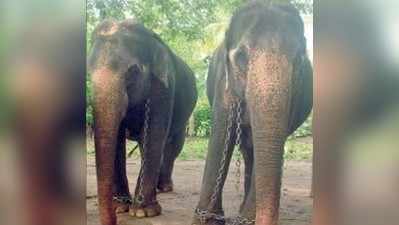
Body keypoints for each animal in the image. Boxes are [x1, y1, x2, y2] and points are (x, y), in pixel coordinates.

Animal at [88, 18, 198, 225]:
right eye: (88, 72)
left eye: (133, 71)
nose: (112, 220)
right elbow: (118, 140)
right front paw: (120, 206)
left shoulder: (164, 86)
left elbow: (153, 136)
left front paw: (143, 212)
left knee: (173, 146)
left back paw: (164, 188)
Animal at [193, 2, 312, 225]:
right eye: (241, 57)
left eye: (300, 60)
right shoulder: (223, 83)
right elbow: (221, 137)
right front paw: (207, 219)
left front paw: (245, 218)